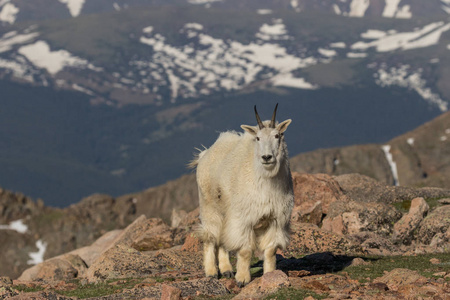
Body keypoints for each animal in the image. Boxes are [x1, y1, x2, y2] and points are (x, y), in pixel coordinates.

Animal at [190, 104, 296, 288]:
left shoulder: (276, 219)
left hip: (225, 210)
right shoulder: (244, 218)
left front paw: (270, 275)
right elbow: (245, 251)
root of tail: (205, 154)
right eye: (258, 138)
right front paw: (242, 279)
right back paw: (211, 272)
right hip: (209, 206)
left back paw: (226, 270)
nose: (267, 157)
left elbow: (270, 250)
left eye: (277, 135)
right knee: (210, 237)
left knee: (223, 239)